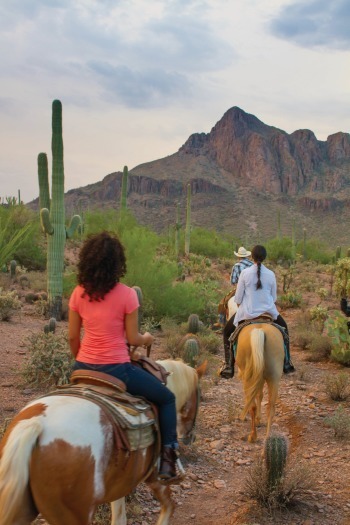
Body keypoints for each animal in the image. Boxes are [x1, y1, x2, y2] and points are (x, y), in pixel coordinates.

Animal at [0, 358, 206, 524]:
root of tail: (36, 424)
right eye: (199, 397)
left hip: (21, 508)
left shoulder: (120, 483)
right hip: (74, 514)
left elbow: (119, 517)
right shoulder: (155, 479)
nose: (190, 437)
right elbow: (170, 506)